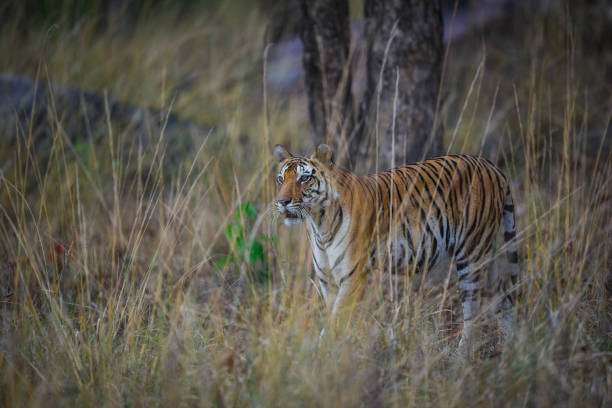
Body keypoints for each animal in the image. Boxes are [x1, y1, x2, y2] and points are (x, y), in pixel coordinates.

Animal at [274, 143, 520, 348]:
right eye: (280, 179)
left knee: (474, 310)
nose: (282, 202)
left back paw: (463, 355)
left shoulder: (353, 277)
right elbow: (330, 317)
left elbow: (335, 321)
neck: (319, 224)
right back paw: (511, 348)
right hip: (486, 254)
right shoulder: (328, 281)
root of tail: (491, 165)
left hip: (472, 253)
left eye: (304, 178)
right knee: (503, 295)